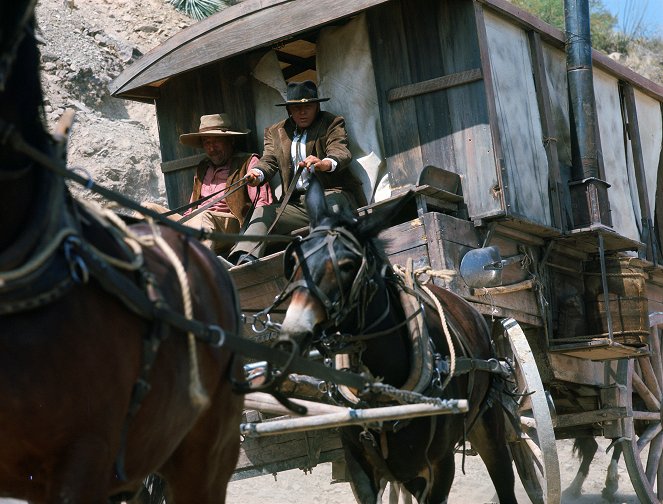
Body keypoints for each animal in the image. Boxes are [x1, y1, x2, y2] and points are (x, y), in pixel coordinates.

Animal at [280, 175, 520, 502]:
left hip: (489, 423)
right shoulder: (360, 467)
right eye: (293, 259)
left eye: (346, 265)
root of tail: (468, 306)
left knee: (504, 477)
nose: (294, 329)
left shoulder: (439, 467)